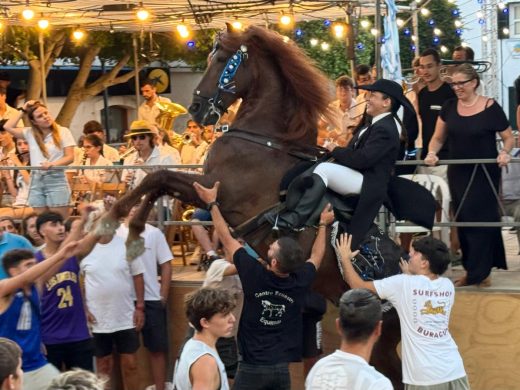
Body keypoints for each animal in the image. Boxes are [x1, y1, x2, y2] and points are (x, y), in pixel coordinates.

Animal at [98, 25, 406, 388]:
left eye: (220, 59)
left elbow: (157, 175)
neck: (262, 141)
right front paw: (131, 232)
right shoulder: (205, 189)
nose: (196, 107)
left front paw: (110, 221)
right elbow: (157, 181)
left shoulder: (213, 191)